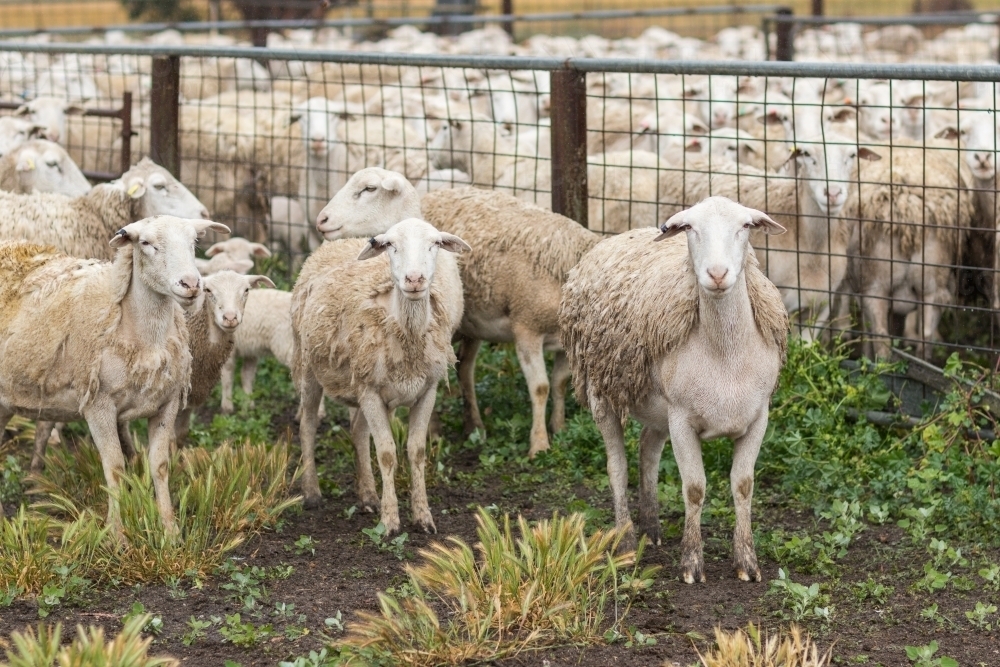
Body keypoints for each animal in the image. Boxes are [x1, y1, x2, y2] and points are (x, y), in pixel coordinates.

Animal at [0, 216, 230, 536]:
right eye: (145, 243)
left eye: (194, 241)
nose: (191, 284)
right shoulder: (98, 406)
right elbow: (116, 469)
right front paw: (117, 534)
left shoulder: (167, 403)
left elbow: (159, 465)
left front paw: (170, 531)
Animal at [291, 218, 471, 534]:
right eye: (390, 245)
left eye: (435, 244)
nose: (414, 279)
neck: (406, 331)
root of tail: (343, 241)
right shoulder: (371, 392)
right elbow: (386, 453)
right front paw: (390, 522)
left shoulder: (427, 391)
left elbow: (416, 451)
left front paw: (423, 517)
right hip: (310, 367)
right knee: (308, 426)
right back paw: (312, 493)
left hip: (362, 384)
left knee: (357, 432)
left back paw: (368, 496)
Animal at [318, 167, 600, 457]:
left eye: (369, 189)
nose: (321, 220)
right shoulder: (526, 329)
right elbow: (541, 388)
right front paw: (539, 444)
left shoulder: (565, 344)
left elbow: (560, 383)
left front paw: (559, 428)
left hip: (470, 326)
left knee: (464, 369)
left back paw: (473, 426)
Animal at [558, 196, 788, 581]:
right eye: (690, 228)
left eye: (744, 226)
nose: (717, 274)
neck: (725, 356)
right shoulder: (682, 420)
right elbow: (694, 489)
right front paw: (692, 564)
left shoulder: (758, 418)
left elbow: (743, 486)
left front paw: (747, 563)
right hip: (601, 392)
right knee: (616, 467)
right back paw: (625, 540)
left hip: (658, 410)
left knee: (647, 451)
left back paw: (651, 529)